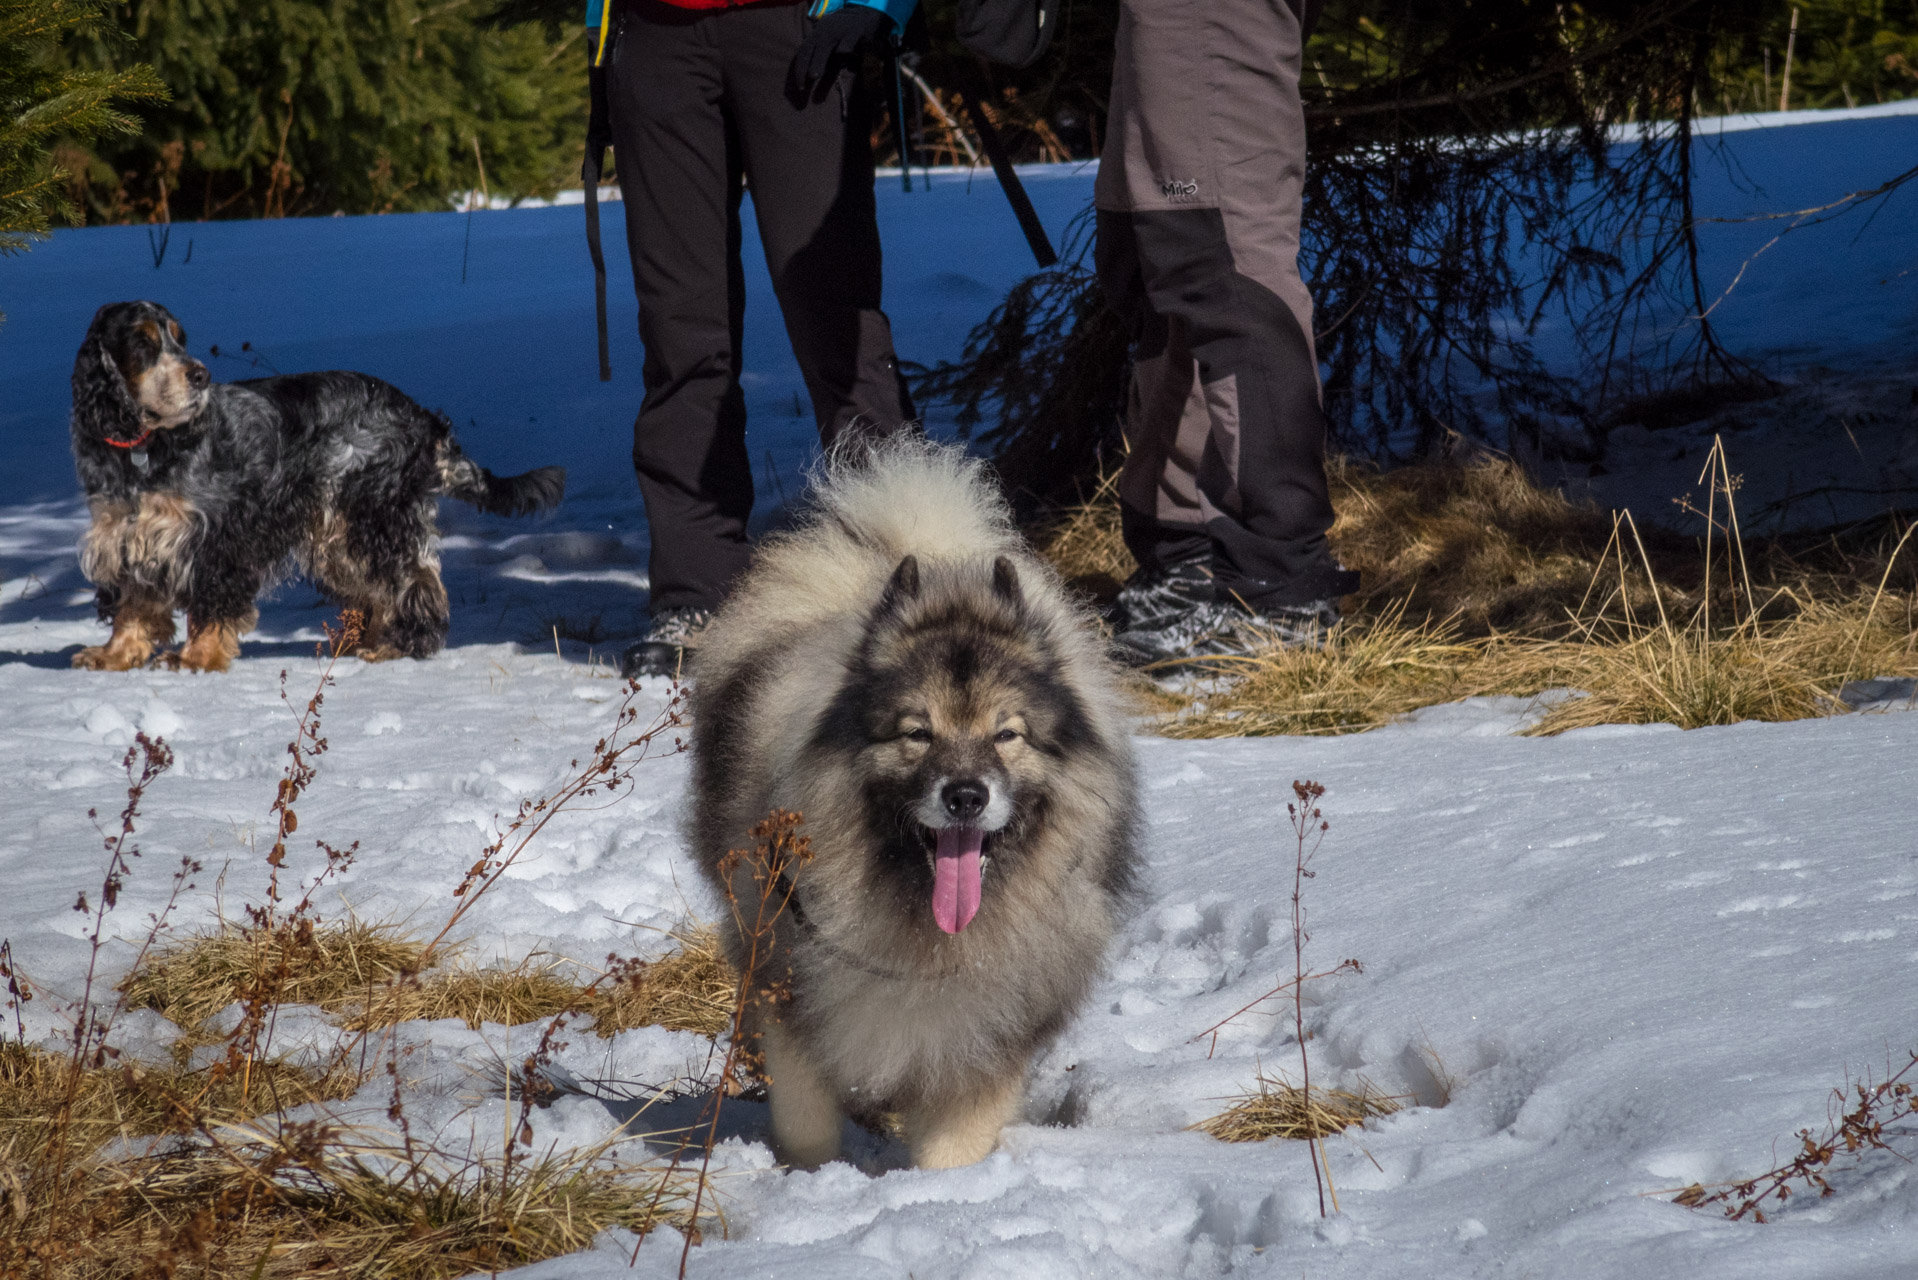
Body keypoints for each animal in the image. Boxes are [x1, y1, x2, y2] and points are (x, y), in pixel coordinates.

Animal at [690, 443, 1135, 1174]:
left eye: (1006, 735)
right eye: (916, 733)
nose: (966, 795)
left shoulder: (987, 1036)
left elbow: (953, 1145)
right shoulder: (797, 990)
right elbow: (806, 1118)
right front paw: (811, 1181)